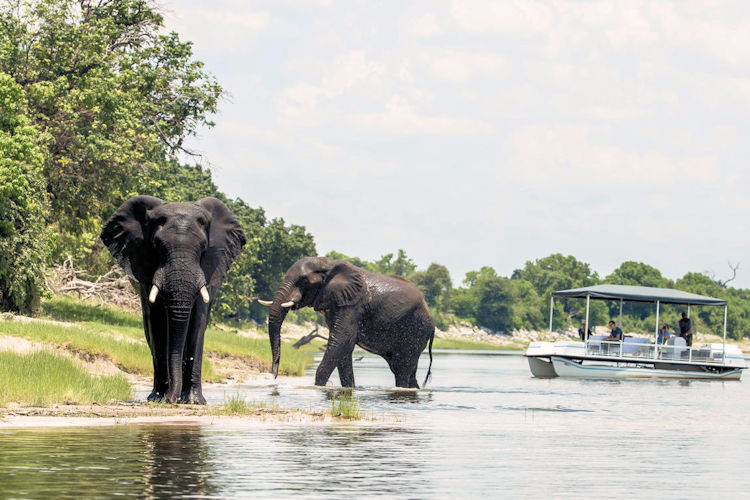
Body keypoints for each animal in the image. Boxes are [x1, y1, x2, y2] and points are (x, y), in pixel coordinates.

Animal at [100, 196, 246, 404]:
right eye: (157, 247)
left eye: (203, 248)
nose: (171, 399)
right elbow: (157, 322)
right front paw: (159, 398)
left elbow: (198, 321)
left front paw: (194, 401)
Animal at [259, 257, 435, 388]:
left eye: (304, 282)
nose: (274, 375)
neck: (328, 264)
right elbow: (344, 349)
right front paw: (349, 389)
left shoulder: (352, 306)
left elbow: (342, 341)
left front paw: (319, 387)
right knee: (405, 370)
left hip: (416, 329)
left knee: (402, 369)